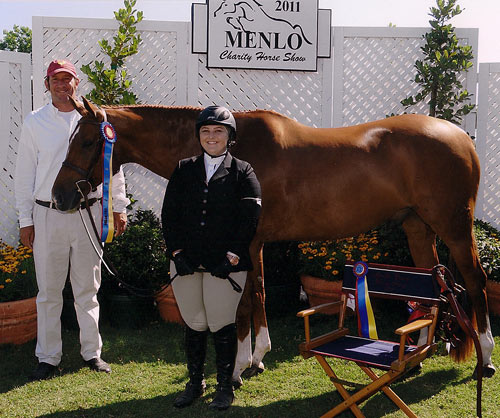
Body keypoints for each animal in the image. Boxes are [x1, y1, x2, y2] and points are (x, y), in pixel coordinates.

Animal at [51, 96, 496, 384]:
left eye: (88, 141)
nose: (59, 196)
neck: (228, 154)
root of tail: (461, 136)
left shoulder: (245, 244)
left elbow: (246, 301)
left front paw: (237, 367)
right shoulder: (254, 244)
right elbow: (259, 294)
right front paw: (257, 358)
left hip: (455, 227)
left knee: (474, 280)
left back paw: (486, 357)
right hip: (418, 227)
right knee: (430, 284)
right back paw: (416, 356)